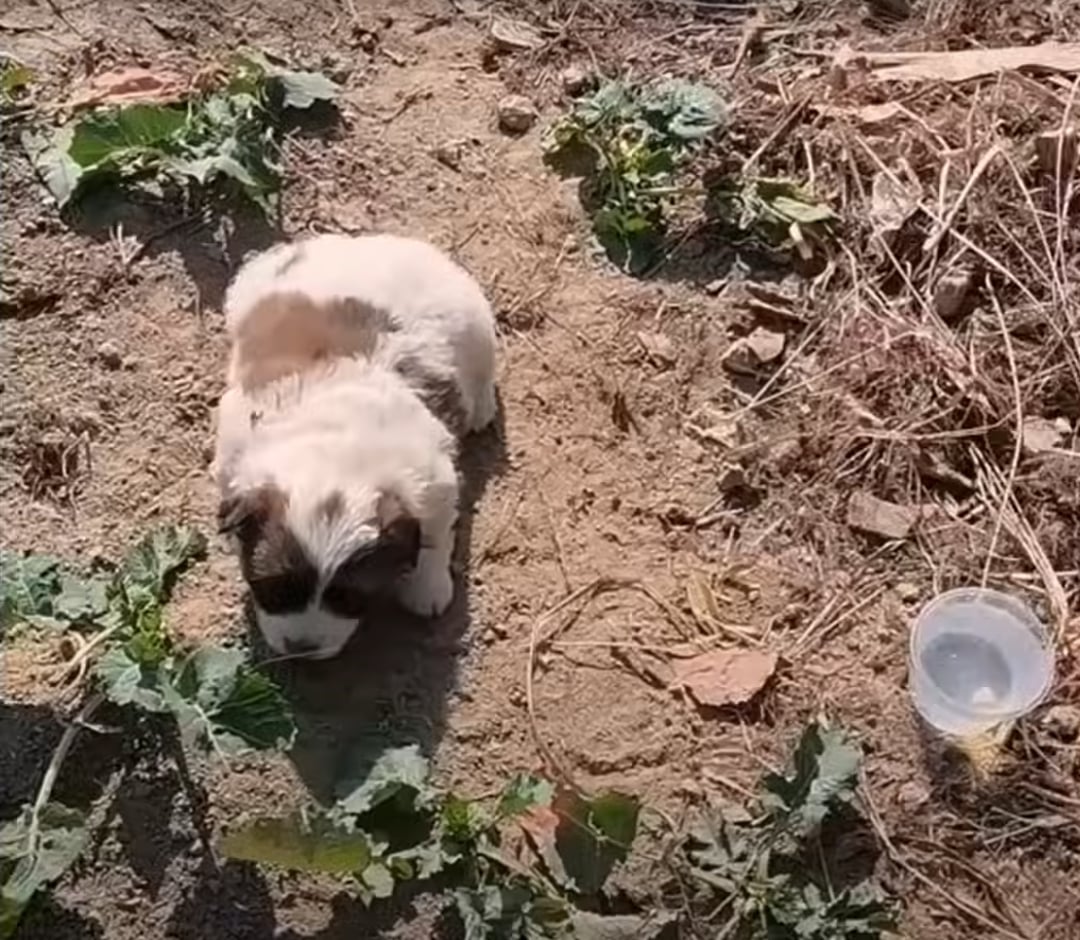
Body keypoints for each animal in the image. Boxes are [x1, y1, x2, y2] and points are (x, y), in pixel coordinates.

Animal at [211, 234, 496, 656]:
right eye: (276, 590)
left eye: (347, 598)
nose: (302, 647)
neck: (332, 455)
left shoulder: (435, 482)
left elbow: (434, 536)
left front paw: (427, 588)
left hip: (477, 326)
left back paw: (482, 407)